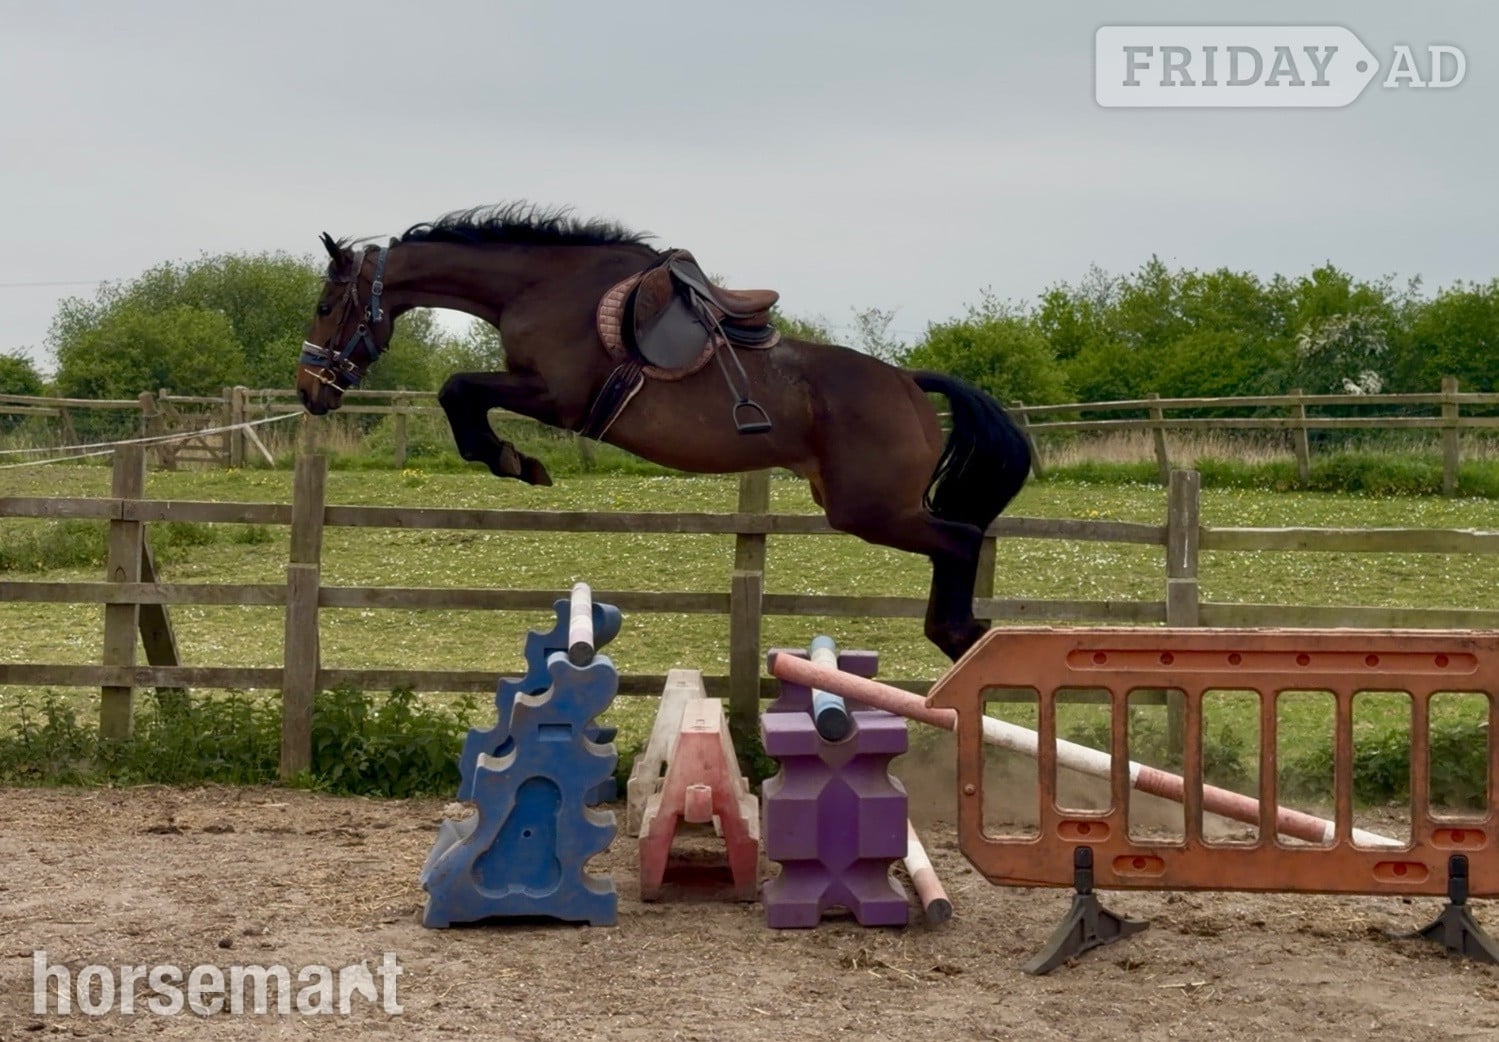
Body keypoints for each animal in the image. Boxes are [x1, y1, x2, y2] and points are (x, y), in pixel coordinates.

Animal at [295, 203, 1032, 661]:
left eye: (328, 305)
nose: (308, 391)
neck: (540, 286)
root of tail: (908, 383)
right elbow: (460, 393)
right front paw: (513, 459)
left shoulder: (558, 396)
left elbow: (458, 390)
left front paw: (511, 460)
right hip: (857, 504)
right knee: (957, 540)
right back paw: (960, 634)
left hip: (870, 510)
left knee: (960, 540)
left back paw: (960, 632)